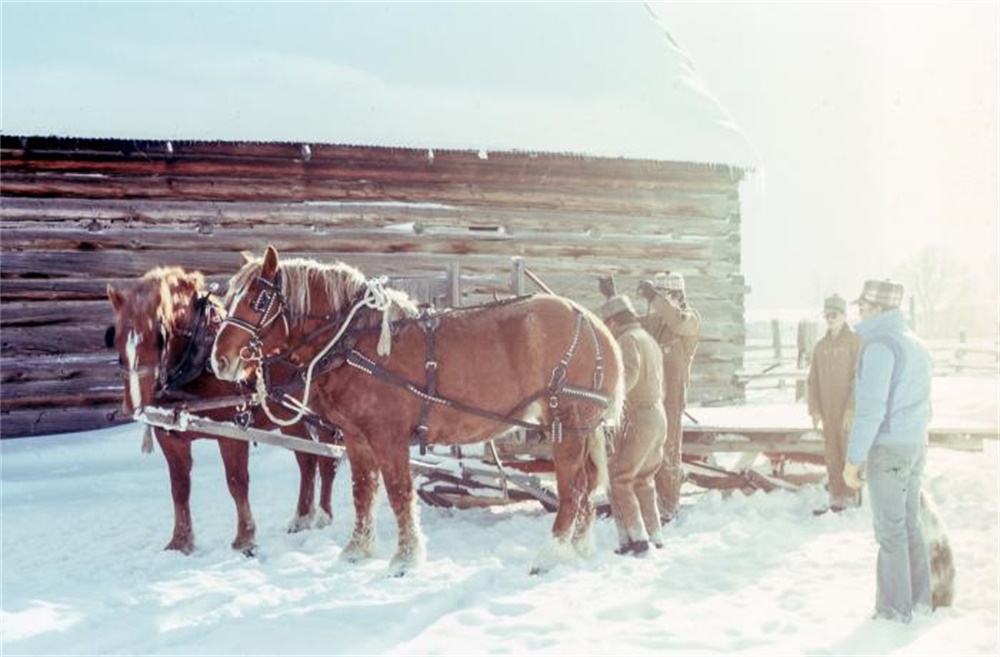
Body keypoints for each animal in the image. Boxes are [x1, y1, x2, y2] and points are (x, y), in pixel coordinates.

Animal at [106, 266, 340, 552]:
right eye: (115, 337)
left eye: (158, 338)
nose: (134, 405)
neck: (197, 361)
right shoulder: (169, 437)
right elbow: (179, 487)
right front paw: (180, 542)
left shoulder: (233, 432)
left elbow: (236, 482)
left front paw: (245, 538)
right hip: (289, 417)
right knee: (307, 460)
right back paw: (302, 518)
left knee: (329, 460)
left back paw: (324, 516)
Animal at [210, 246, 620, 576]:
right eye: (228, 297)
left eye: (258, 301)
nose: (220, 360)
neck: (356, 343)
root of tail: (591, 322)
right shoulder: (357, 438)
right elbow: (363, 491)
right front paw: (357, 550)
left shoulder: (388, 436)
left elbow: (398, 492)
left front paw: (405, 559)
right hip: (577, 428)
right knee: (585, 489)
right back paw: (579, 549)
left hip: (566, 423)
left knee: (572, 490)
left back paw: (550, 555)